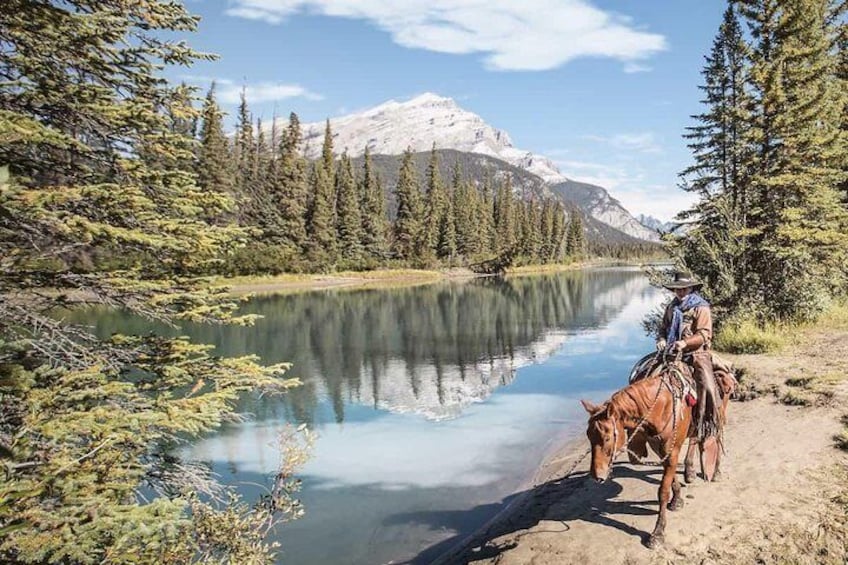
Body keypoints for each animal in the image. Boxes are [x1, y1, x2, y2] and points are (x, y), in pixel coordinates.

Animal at [584, 360, 696, 548]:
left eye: (607, 438)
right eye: (588, 436)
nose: (596, 475)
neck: (662, 407)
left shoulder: (672, 451)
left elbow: (662, 491)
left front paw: (658, 533)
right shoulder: (662, 451)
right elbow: (671, 478)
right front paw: (677, 500)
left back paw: (701, 471)